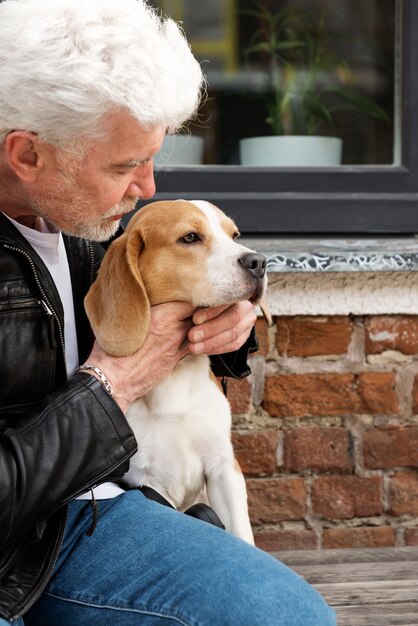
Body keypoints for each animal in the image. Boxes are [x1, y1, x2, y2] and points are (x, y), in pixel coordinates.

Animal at [85, 199, 268, 540]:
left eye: (234, 235)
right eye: (190, 238)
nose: (259, 262)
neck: (176, 375)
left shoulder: (224, 468)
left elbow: (242, 533)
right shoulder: (150, 483)